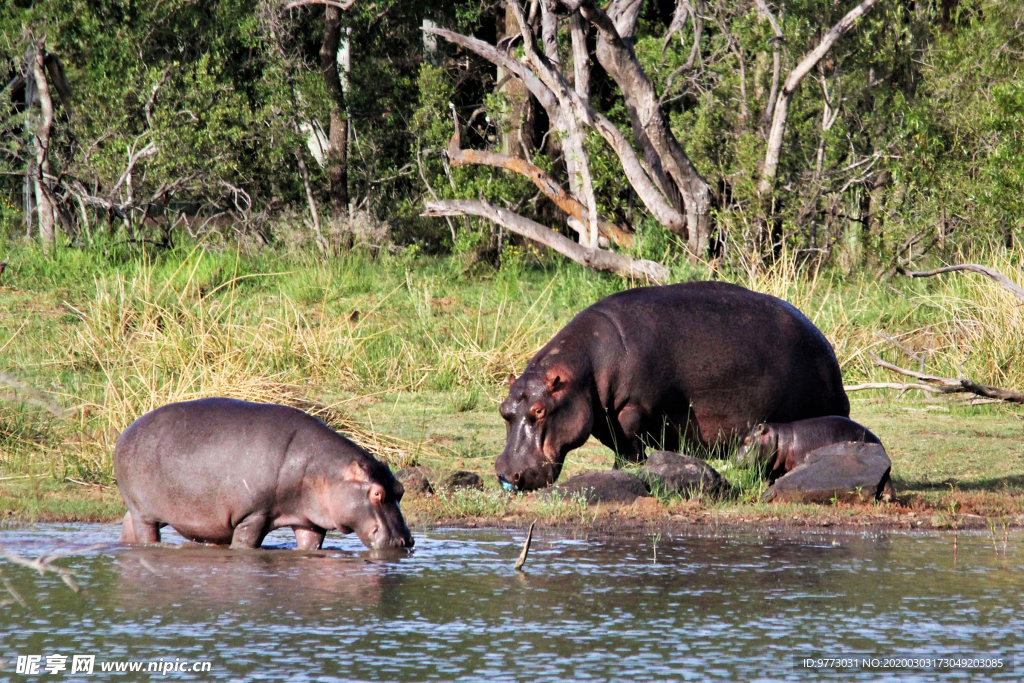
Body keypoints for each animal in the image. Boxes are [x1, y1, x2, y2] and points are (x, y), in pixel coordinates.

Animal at [115, 397, 411, 552]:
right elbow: (246, 543)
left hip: (136, 510)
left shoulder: (309, 521)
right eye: (376, 493)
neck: (326, 471)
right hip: (145, 513)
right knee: (146, 533)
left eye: (400, 489)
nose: (405, 540)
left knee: (127, 527)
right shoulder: (253, 515)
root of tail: (126, 431)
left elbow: (309, 544)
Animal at [495, 282, 847, 491]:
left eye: (539, 410)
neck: (583, 369)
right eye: (503, 411)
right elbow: (619, 445)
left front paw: (627, 470)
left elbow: (630, 445)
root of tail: (827, 348)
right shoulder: (603, 415)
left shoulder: (632, 408)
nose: (506, 474)